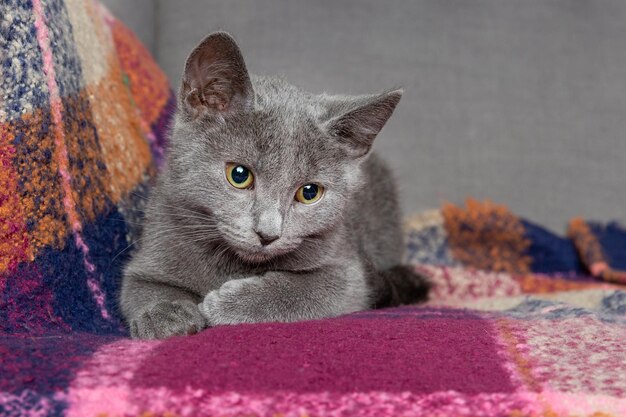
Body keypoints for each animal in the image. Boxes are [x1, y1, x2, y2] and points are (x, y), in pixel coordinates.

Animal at [119, 32, 426, 338]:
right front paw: (164, 315)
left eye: (309, 192)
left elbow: (307, 289)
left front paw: (228, 303)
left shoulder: (348, 272)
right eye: (239, 175)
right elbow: (139, 286)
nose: (267, 234)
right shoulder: (155, 243)